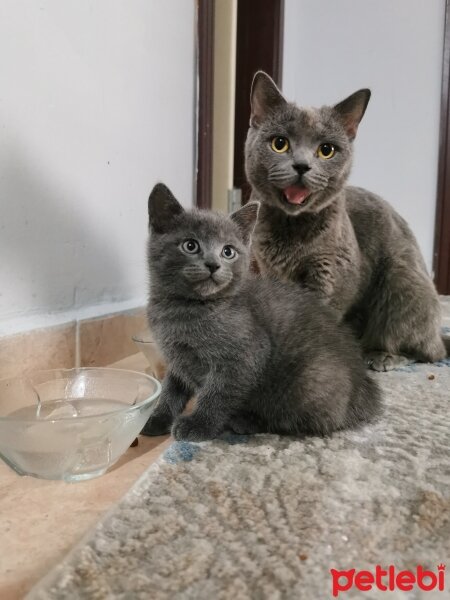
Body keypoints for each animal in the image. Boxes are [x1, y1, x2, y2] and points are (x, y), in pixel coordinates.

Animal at [142, 183, 380, 440]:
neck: (186, 309)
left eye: (228, 251)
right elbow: (170, 391)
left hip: (309, 382)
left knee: (304, 421)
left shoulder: (244, 355)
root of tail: (364, 390)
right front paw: (155, 419)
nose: (213, 265)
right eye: (190, 245)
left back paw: (246, 421)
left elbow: (218, 393)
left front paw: (199, 424)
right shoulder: (176, 358)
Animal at [246, 70, 446, 370]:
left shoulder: (329, 274)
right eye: (279, 144)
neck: (290, 229)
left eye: (326, 150)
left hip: (402, 282)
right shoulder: (270, 270)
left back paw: (381, 356)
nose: (302, 166)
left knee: (426, 351)